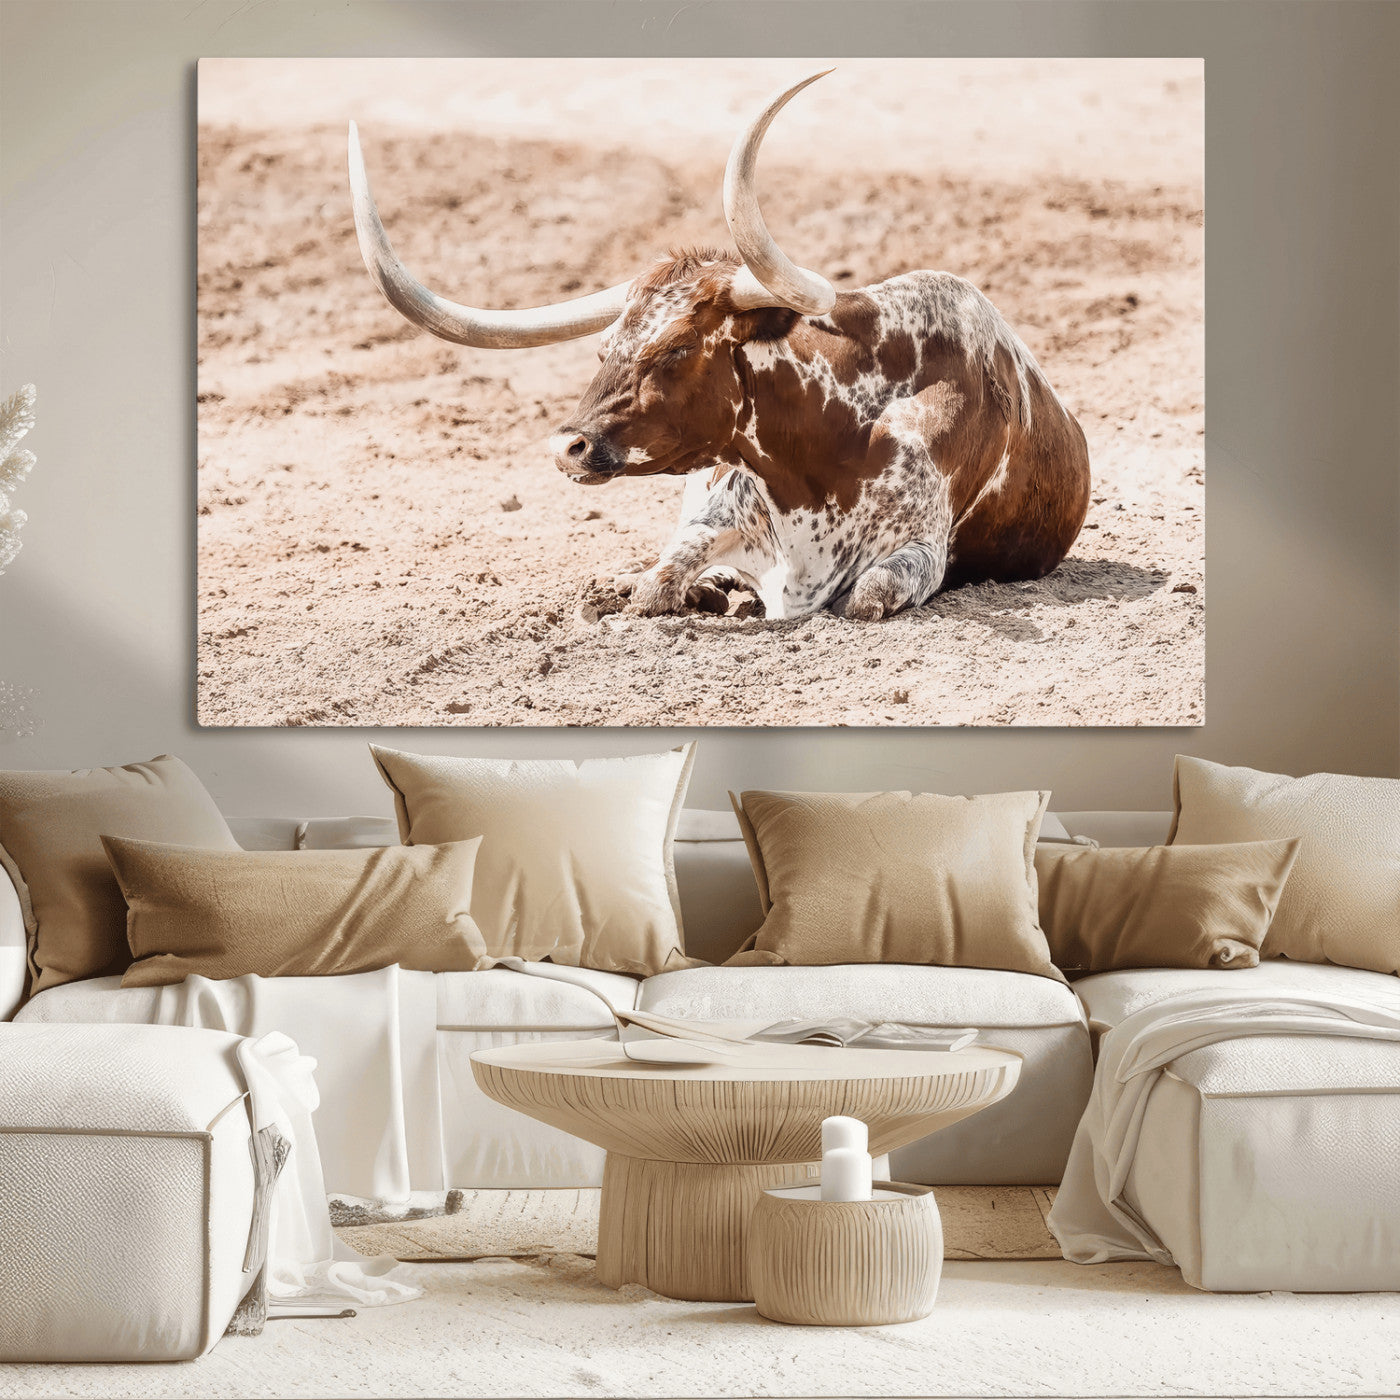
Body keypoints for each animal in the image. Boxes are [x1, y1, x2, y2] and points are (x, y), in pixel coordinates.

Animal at [349, 71, 1090, 621]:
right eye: (604, 347)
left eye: (677, 350)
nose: (568, 447)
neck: (825, 451)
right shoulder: (712, 513)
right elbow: (656, 583)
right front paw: (681, 590)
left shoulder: (919, 553)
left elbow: (864, 596)